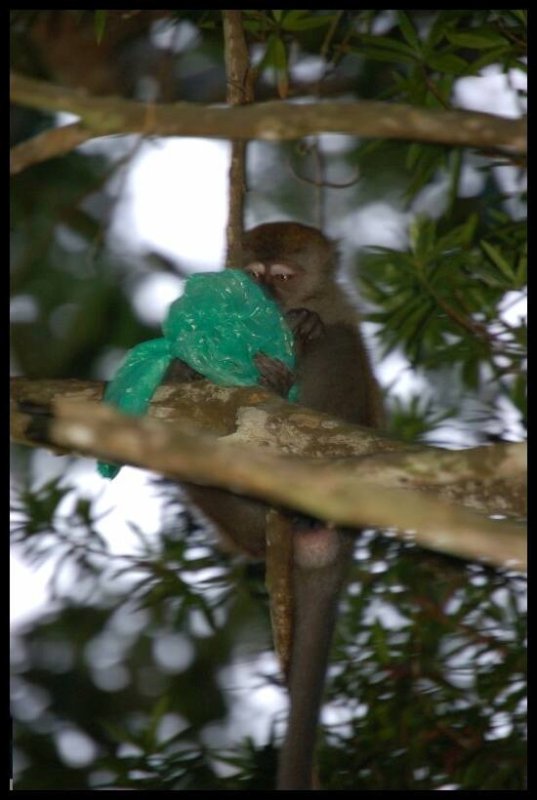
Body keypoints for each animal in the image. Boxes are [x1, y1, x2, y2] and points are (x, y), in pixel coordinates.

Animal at [164, 222, 384, 789]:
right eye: (255, 275)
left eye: (283, 278)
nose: (265, 299)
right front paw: (182, 368)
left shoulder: (338, 306)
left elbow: (337, 332)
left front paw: (302, 327)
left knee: (340, 346)